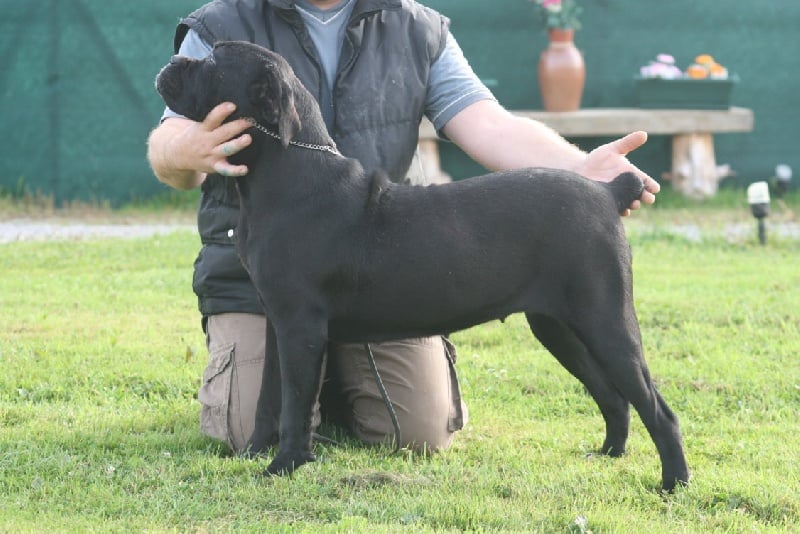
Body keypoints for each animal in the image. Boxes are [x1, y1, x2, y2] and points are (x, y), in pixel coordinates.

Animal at [156, 42, 688, 494]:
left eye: (214, 59)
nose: (172, 60)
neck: (285, 174)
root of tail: (606, 191)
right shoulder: (277, 321)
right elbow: (269, 399)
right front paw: (255, 454)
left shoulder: (300, 325)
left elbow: (294, 402)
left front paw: (283, 466)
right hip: (558, 326)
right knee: (614, 397)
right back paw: (609, 454)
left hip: (605, 320)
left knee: (656, 407)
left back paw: (673, 483)